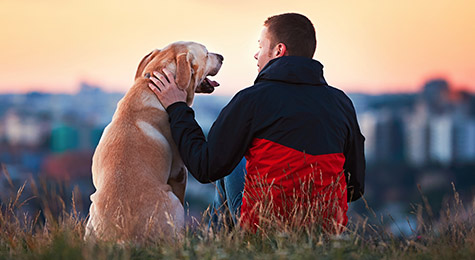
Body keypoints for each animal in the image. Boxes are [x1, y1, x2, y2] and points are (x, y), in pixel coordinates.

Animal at [85, 41, 223, 243]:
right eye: (206, 54)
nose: (222, 57)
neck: (149, 88)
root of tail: (123, 237)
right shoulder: (179, 172)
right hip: (173, 202)